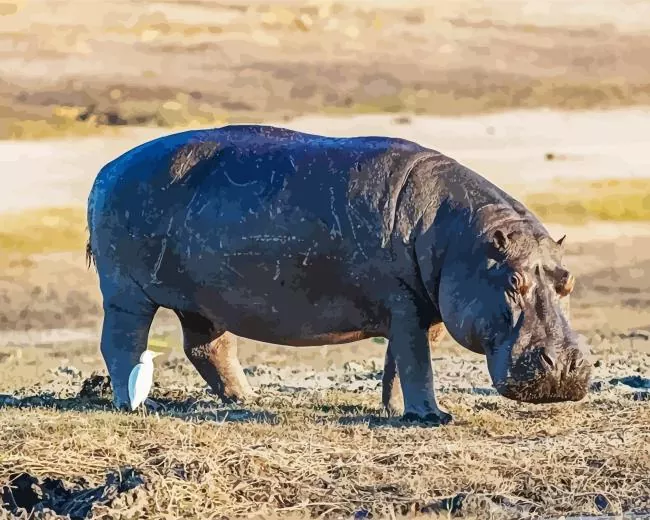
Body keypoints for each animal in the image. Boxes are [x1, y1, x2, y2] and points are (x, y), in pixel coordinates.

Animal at [86, 124, 591, 424]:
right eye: (513, 282)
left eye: (567, 281)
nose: (564, 367)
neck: (462, 240)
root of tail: (107, 169)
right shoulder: (406, 305)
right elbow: (416, 361)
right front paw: (433, 417)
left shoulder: (422, 308)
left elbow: (402, 362)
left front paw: (397, 410)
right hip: (126, 292)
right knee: (121, 343)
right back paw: (135, 405)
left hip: (204, 301)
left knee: (207, 347)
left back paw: (248, 399)